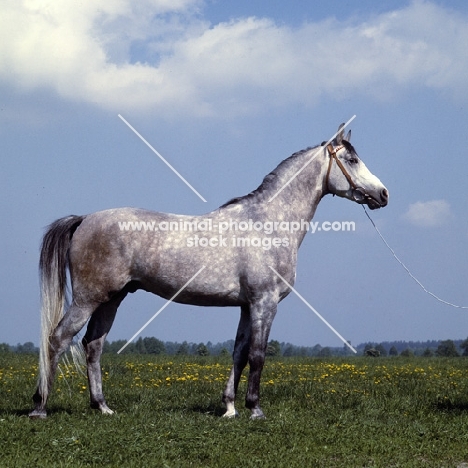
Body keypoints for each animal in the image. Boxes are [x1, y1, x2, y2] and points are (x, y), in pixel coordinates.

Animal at [28, 122, 388, 418]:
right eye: (352, 160)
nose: (383, 194)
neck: (267, 222)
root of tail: (84, 219)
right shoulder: (265, 302)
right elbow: (258, 355)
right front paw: (255, 409)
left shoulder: (246, 306)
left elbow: (239, 353)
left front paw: (229, 407)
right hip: (88, 298)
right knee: (58, 339)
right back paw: (40, 407)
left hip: (111, 299)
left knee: (93, 345)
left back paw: (102, 406)